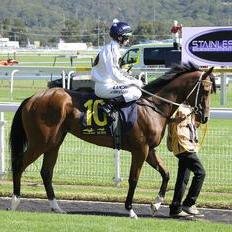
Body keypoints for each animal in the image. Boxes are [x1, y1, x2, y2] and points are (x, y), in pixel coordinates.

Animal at [8, 61, 216, 218]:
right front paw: (130, 210)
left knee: (46, 172)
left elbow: (166, 173)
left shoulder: (150, 150)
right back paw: (15, 201)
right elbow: (134, 179)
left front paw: (156, 204)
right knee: (19, 164)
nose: (205, 117)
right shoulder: (140, 149)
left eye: (212, 90)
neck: (152, 106)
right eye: (206, 90)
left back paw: (56, 207)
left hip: (54, 142)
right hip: (40, 141)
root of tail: (32, 98)